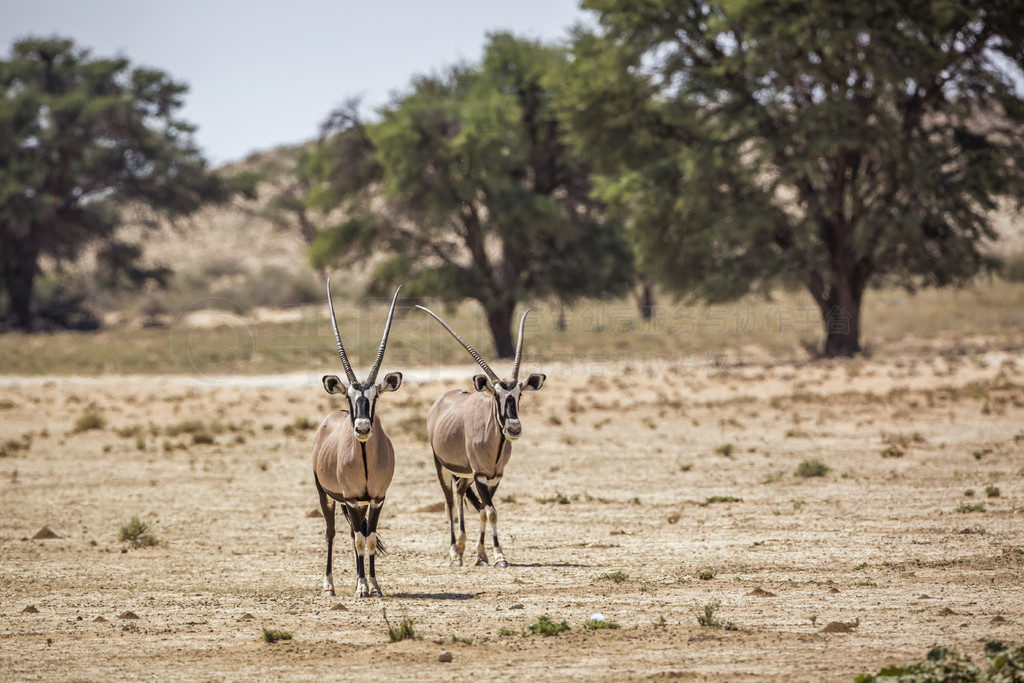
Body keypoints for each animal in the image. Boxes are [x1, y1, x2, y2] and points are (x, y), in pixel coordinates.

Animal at [311, 280, 403, 593]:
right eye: (350, 396)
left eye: (375, 397)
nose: (362, 428)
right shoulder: (350, 499)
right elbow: (359, 540)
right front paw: (362, 586)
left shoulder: (376, 498)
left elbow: (369, 538)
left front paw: (373, 584)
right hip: (326, 496)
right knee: (332, 533)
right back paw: (329, 584)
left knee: (356, 532)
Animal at [413, 307, 544, 569]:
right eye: (496, 395)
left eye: (519, 394)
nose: (514, 428)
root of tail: (442, 399)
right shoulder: (480, 475)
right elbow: (490, 510)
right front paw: (499, 557)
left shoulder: (494, 476)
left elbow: (486, 509)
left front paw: (483, 554)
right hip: (442, 467)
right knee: (449, 502)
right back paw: (455, 552)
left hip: (465, 474)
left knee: (461, 492)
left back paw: (463, 548)